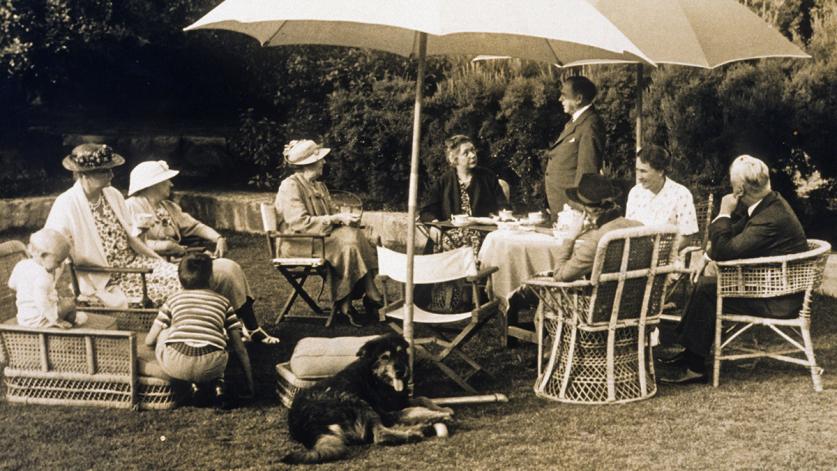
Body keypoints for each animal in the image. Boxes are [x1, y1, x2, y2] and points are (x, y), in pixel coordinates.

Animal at [282, 336, 454, 464]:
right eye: (385, 357)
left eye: (401, 353)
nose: (401, 371)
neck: (376, 379)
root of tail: (304, 426)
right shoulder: (388, 412)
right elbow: (414, 409)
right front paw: (440, 415)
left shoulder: (400, 401)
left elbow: (423, 399)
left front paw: (442, 409)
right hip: (357, 402)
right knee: (380, 436)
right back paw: (414, 431)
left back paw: (420, 426)